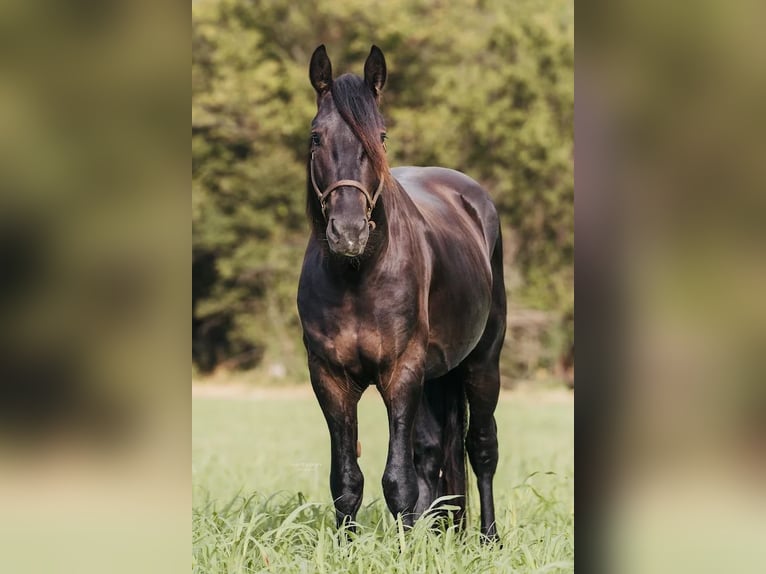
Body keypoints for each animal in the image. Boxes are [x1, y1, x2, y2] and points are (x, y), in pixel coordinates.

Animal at [297, 44, 507, 541]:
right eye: (316, 137)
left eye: (381, 136)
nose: (349, 231)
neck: (358, 276)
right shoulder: (329, 378)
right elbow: (347, 481)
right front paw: (353, 548)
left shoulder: (401, 372)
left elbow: (398, 480)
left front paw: (404, 549)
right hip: (435, 376)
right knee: (430, 453)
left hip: (482, 363)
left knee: (481, 449)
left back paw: (489, 539)